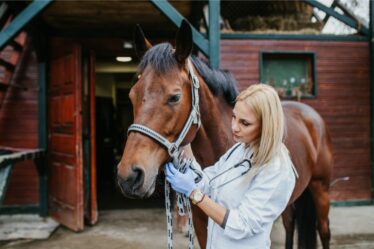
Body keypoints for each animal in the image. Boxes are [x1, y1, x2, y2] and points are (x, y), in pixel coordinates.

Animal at [117, 20, 334, 249]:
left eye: (174, 97)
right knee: (290, 223)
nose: (128, 176)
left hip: (321, 189)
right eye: (132, 95)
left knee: (324, 230)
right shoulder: (201, 222)